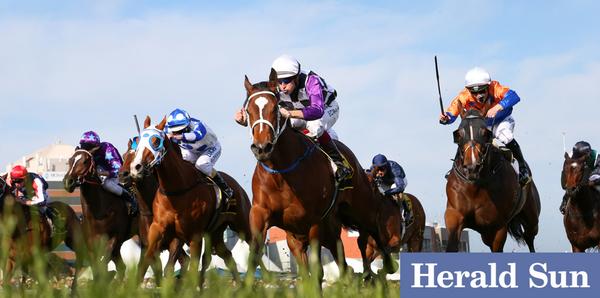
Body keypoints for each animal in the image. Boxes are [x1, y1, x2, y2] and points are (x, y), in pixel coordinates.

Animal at [63, 149, 138, 280]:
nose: (68, 182)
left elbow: (102, 265)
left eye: (85, 161)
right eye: (70, 160)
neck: (99, 212)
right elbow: (96, 269)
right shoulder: (91, 245)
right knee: (122, 267)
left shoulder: (114, 239)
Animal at [127, 116, 252, 286]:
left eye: (156, 140)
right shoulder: (158, 231)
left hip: (242, 225)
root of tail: (237, 186)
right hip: (216, 232)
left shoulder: (194, 237)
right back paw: (239, 286)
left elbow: (190, 267)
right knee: (226, 255)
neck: (177, 191)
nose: (136, 167)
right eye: (139, 141)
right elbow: (147, 262)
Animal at [241, 69, 396, 282]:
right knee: (345, 257)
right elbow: (255, 255)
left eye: (275, 109)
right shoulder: (263, 215)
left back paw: (383, 267)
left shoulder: (313, 220)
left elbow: (316, 270)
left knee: (370, 233)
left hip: (359, 208)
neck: (282, 173)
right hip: (327, 227)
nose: (262, 148)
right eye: (249, 111)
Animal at [442, 109, 540, 251]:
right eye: (459, 134)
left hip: (531, 219)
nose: (472, 166)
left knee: (529, 238)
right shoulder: (454, 215)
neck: (475, 185)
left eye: (484, 133)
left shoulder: (497, 227)